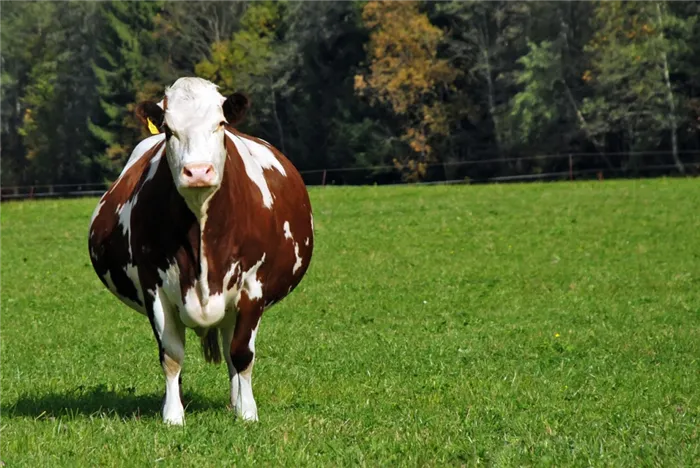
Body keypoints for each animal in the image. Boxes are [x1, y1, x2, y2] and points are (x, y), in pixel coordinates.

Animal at [87, 77, 314, 424]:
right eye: (169, 130)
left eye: (219, 124)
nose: (197, 172)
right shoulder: (154, 285)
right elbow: (171, 354)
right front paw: (172, 415)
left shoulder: (253, 286)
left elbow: (242, 354)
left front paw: (247, 412)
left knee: (232, 350)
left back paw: (236, 402)